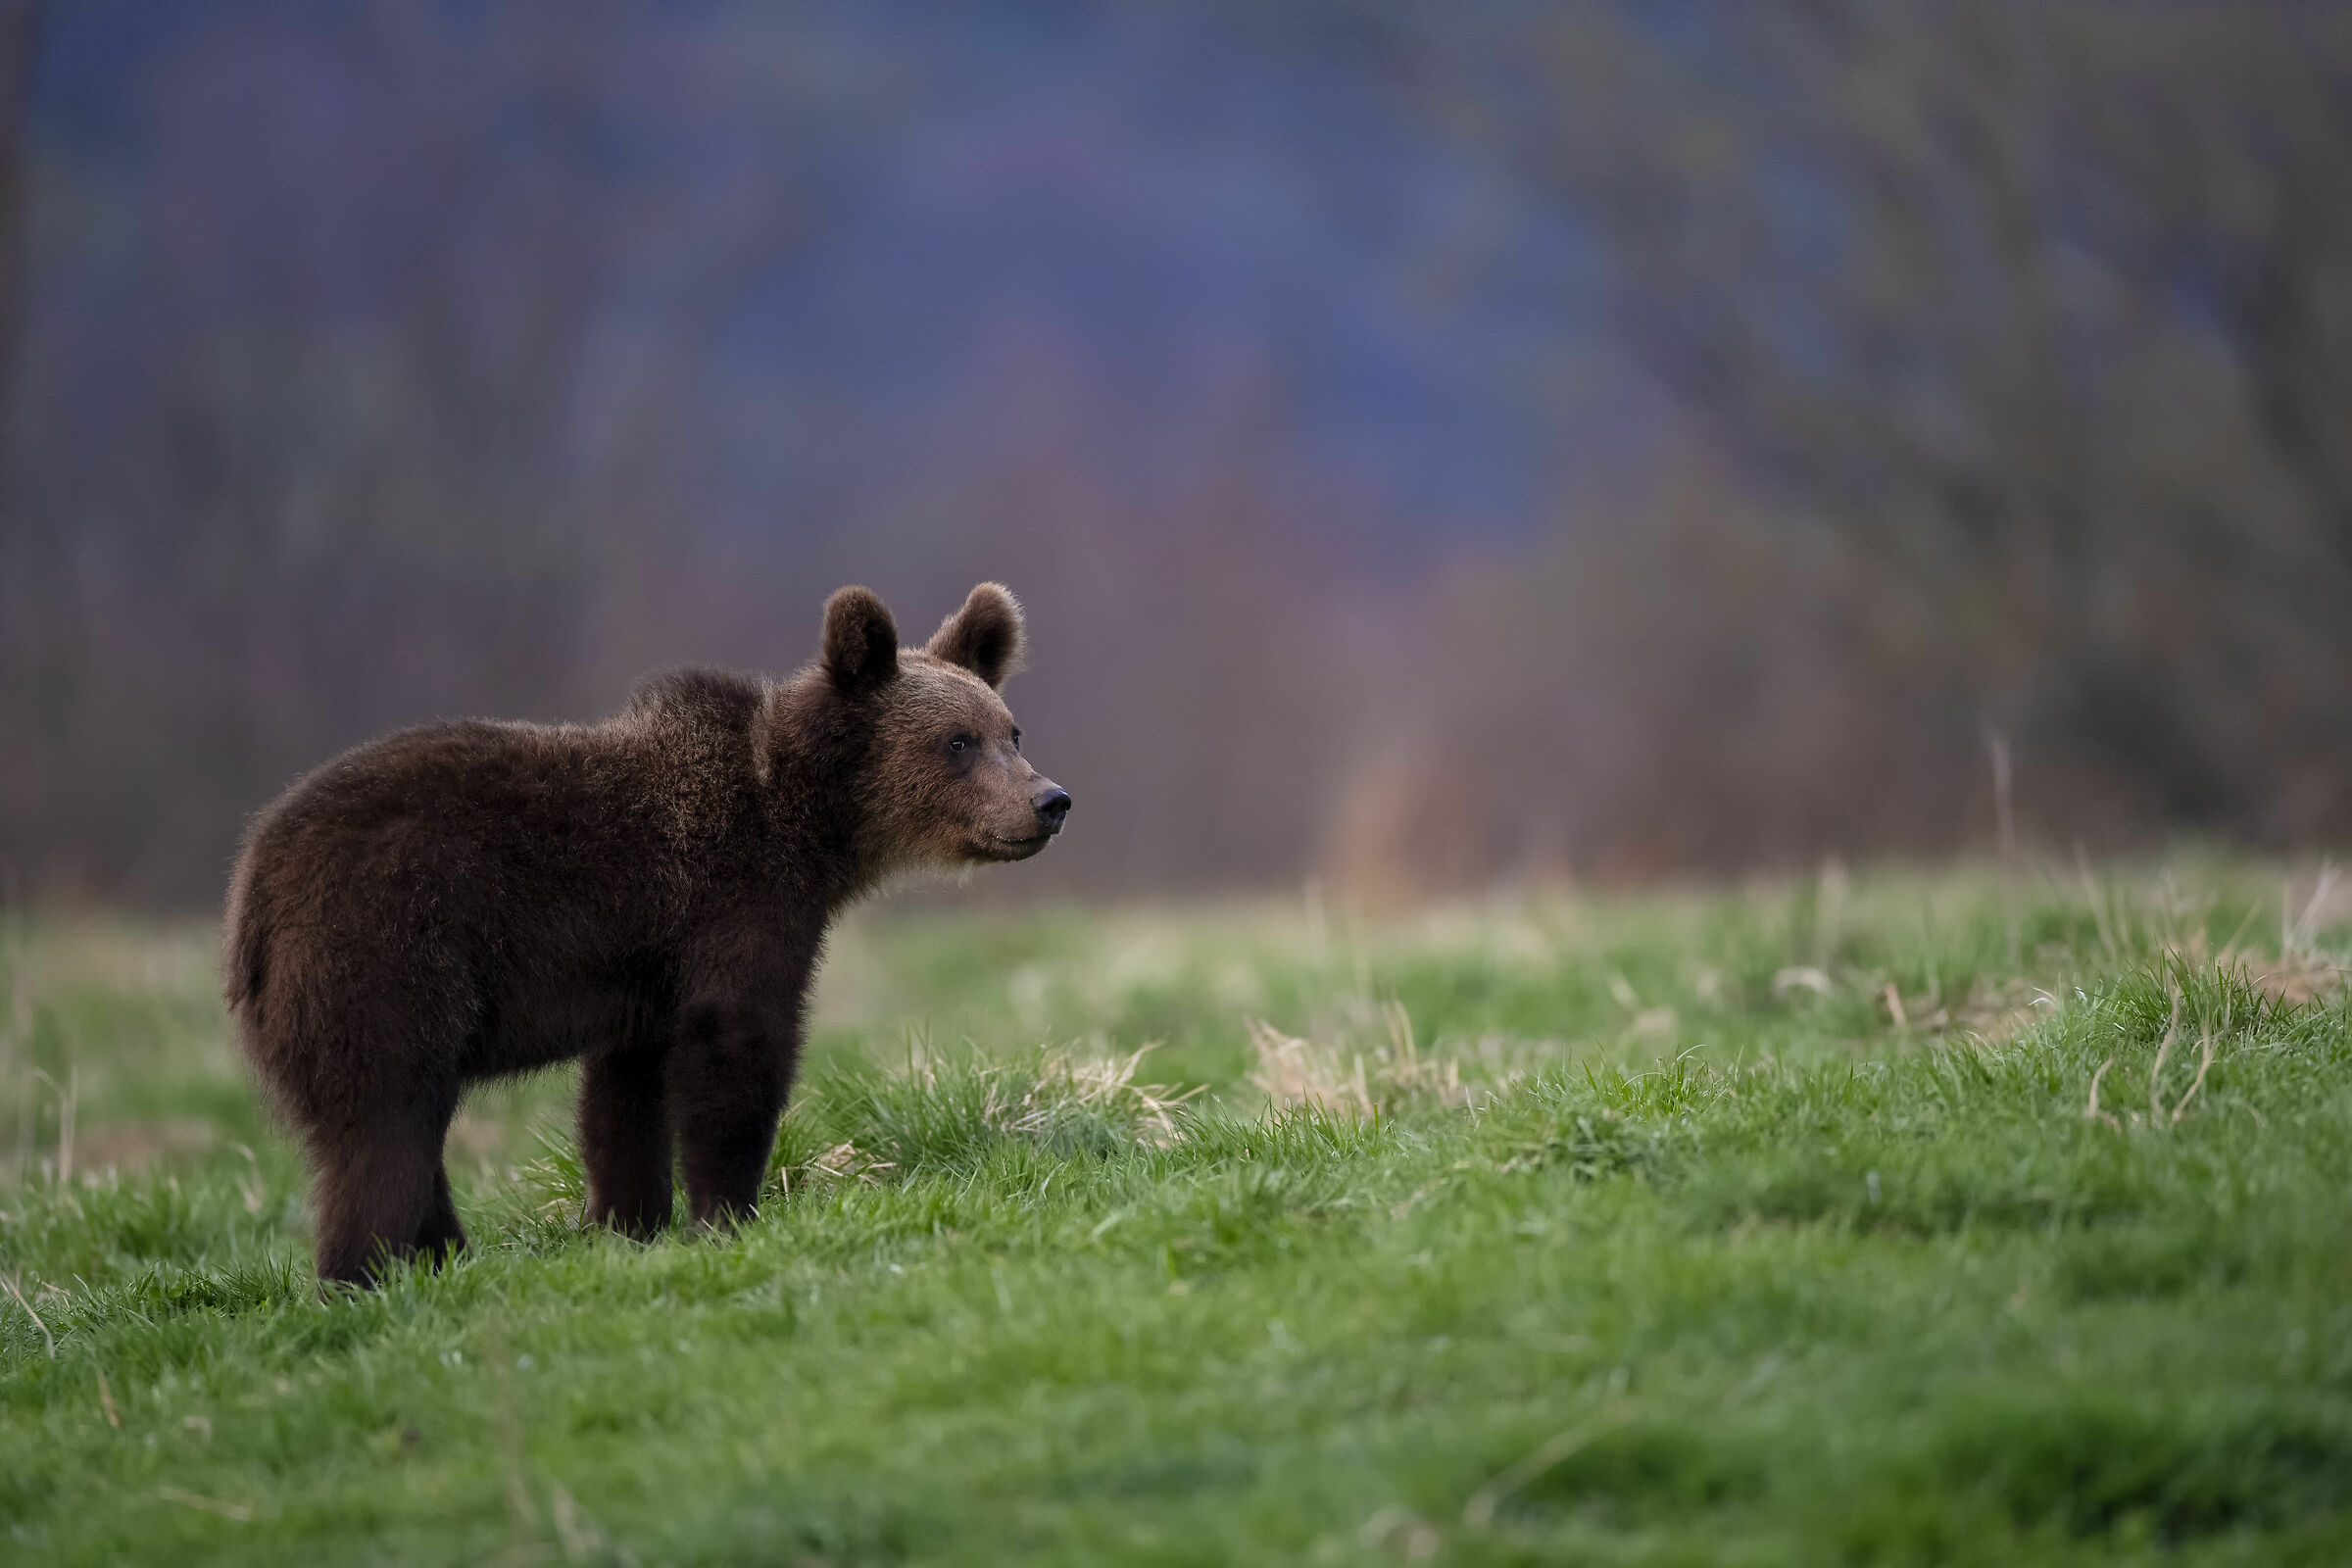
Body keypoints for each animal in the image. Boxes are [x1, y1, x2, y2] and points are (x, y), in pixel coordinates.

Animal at [223, 582, 1068, 1286]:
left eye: (1012, 730)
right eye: (957, 742)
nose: (1051, 800)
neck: (803, 823)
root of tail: (253, 883)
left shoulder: (643, 973)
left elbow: (624, 1101)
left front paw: (627, 1224)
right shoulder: (733, 909)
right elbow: (735, 1055)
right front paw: (727, 1214)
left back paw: (444, 1257)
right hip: (385, 950)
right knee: (387, 1125)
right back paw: (364, 1276)